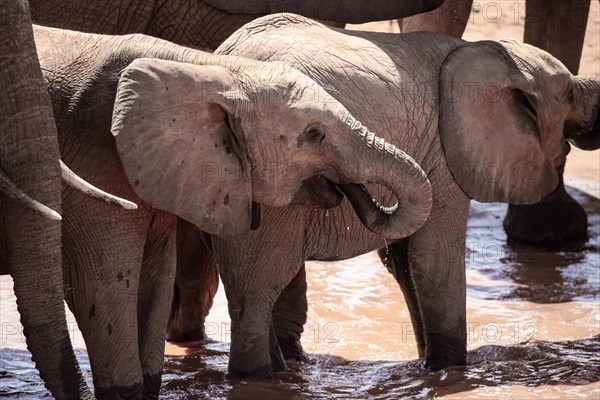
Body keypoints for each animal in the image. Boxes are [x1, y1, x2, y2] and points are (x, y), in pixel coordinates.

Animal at [32, 26, 434, 398]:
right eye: (314, 133)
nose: (362, 195)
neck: (210, 70)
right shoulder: (97, 158)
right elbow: (101, 285)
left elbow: (156, 281)